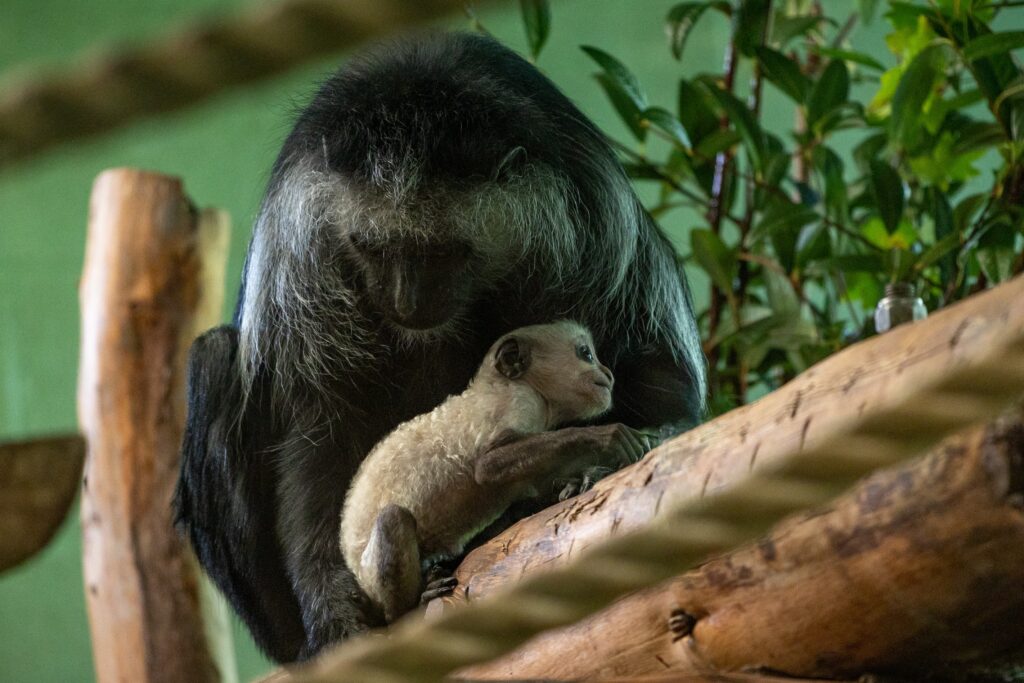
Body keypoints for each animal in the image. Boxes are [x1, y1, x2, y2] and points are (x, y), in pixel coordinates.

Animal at [341, 321, 651, 622]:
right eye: (586, 354)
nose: (607, 373)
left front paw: (582, 478)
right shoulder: (519, 400)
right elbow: (488, 467)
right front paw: (608, 437)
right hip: (373, 575)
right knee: (393, 518)